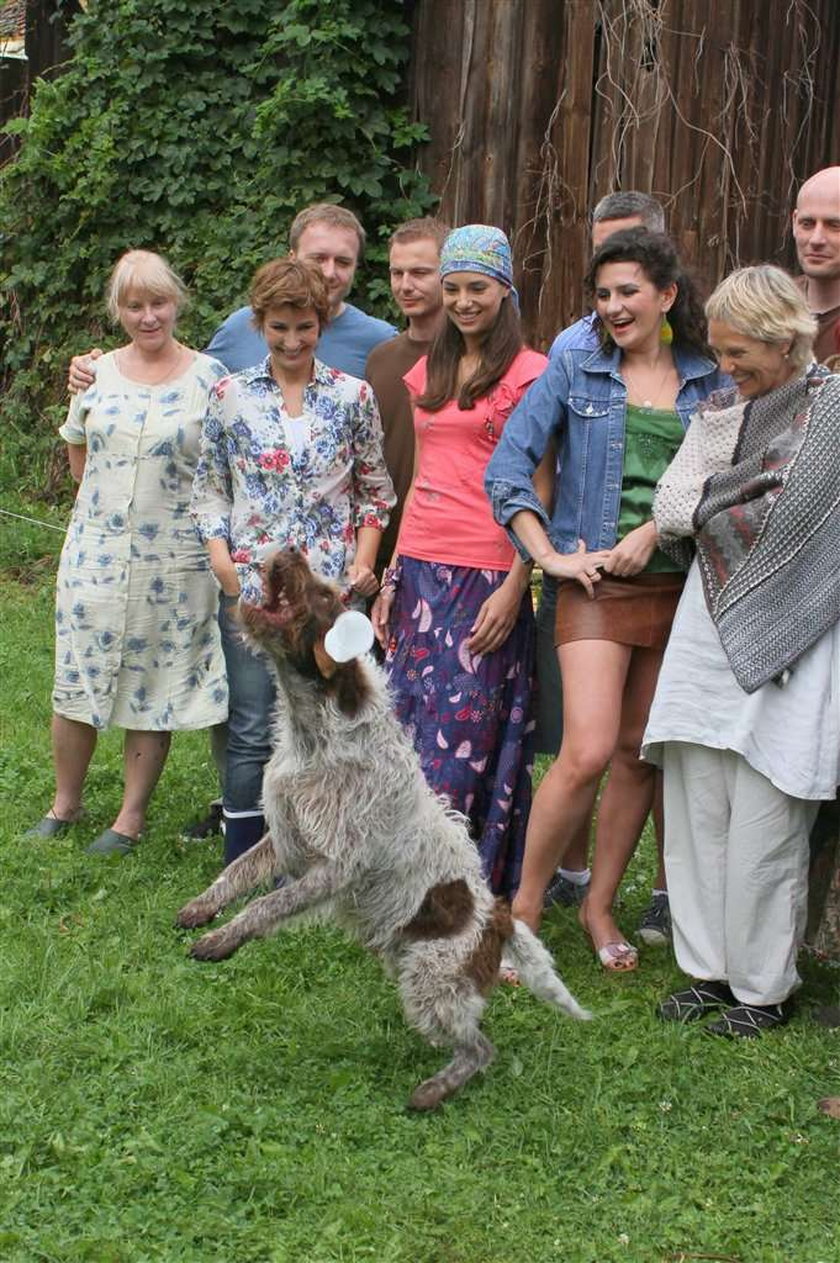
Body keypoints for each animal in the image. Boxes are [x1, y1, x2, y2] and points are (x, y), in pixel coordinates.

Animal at [175, 548, 588, 1111]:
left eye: (323, 593)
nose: (290, 551)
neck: (316, 733)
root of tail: (500, 918)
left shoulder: (335, 867)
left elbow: (265, 906)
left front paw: (222, 939)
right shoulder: (285, 839)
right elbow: (234, 874)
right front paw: (202, 909)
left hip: (429, 980)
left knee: (481, 1049)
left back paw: (433, 1090)